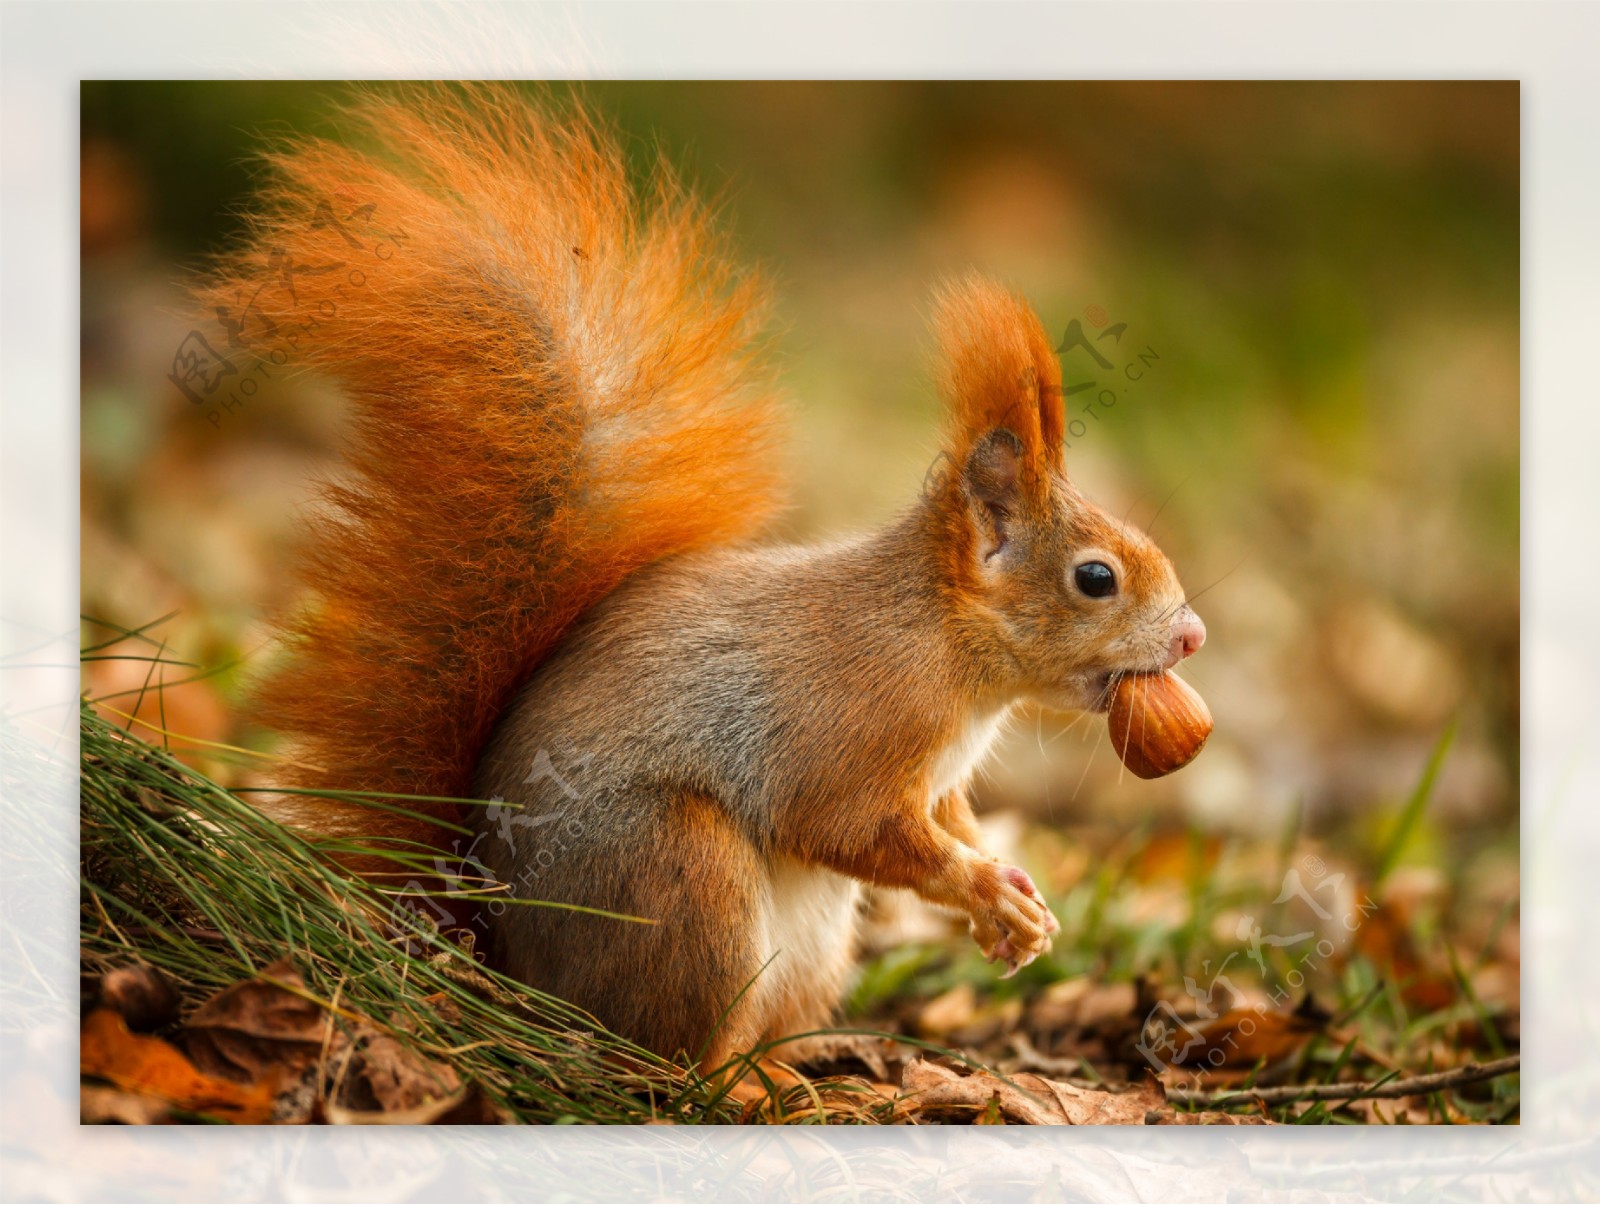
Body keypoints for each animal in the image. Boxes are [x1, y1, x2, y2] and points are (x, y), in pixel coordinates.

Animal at [196, 89, 1203, 1075]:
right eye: (1096, 578)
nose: (1191, 636)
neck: (944, 644)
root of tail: (508, 955)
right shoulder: (850, 726)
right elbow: (848, 825)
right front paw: (986, 887)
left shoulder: (939, 778)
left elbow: (952, 817)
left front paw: (1014, 898)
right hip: (680, 875)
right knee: (673, 1055)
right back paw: (747, 1089)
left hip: (810, 937)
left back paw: (803, 1065)